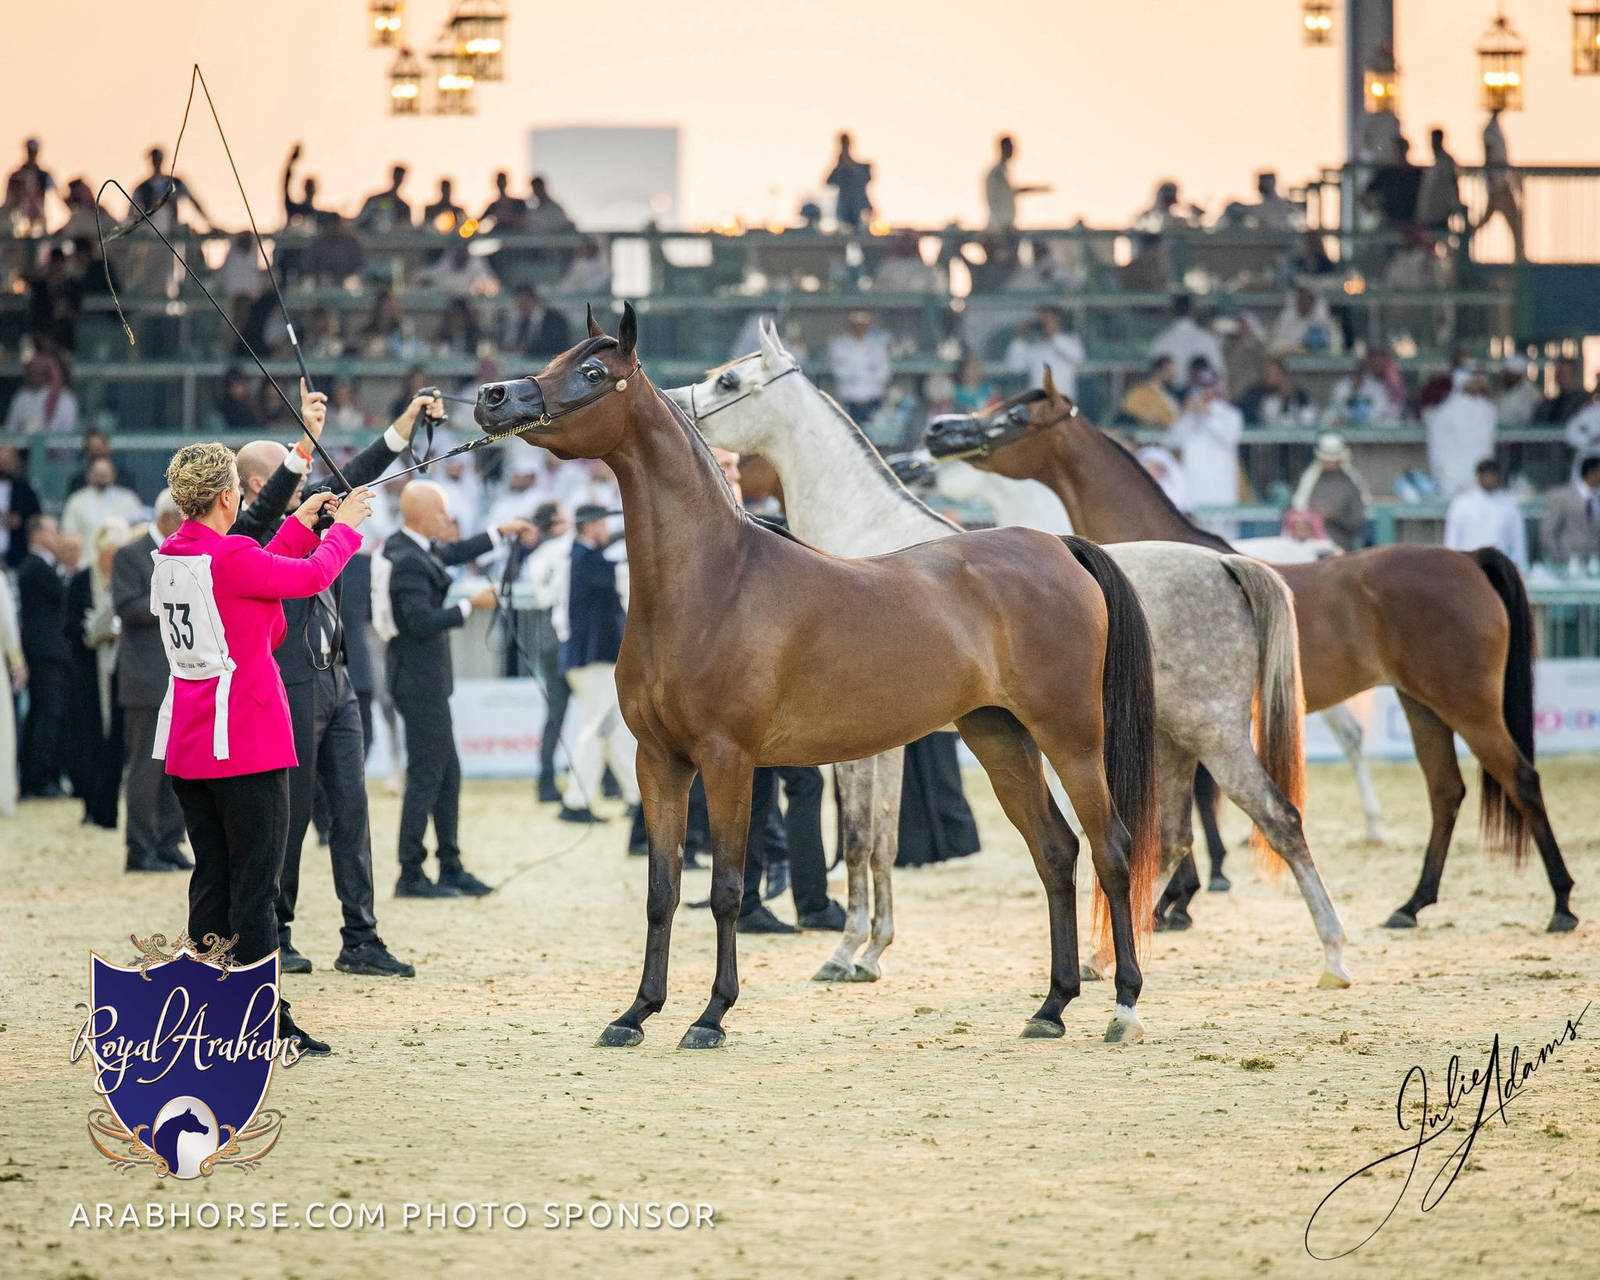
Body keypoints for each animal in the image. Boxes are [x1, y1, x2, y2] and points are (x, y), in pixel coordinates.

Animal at [476, 304, 1160, 1048]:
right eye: (555, 360)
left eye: (595, 371)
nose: (494, 398)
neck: (714, 580)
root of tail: (1057, 546)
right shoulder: (657, 760)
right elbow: (663, 892)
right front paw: (635, 1014)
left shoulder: (729, 760)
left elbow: (727, 888)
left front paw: (711, 1016)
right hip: (1000, 737)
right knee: (1056, 852)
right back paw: (1051, 1006)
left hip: (1072, 738)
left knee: (1112, 849)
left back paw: (1124, 1005)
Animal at [670, 325, 1349, 988]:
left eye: (729, 381)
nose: (676, 403)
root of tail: (1227, 565)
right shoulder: (875, 747)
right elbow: (879, 838)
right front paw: (871, 950)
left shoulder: (869, 749)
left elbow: (864, 839)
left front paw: (847, 953)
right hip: (1176, 741)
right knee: (1173, 841)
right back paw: (1102, 959)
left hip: (1216, 736)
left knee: (1280, 821)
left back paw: (1334, 957)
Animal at [924, 384, 1577, 934]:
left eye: (1015, 416)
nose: (937, 432)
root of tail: (1469, 557)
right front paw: (1181, 896)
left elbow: (1193, 804)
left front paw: (1180, 898)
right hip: (1423, 706)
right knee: (1445, 792)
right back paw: (1411, 904)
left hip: (1467, 704)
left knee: (1519, 777)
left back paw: (1561, 904)